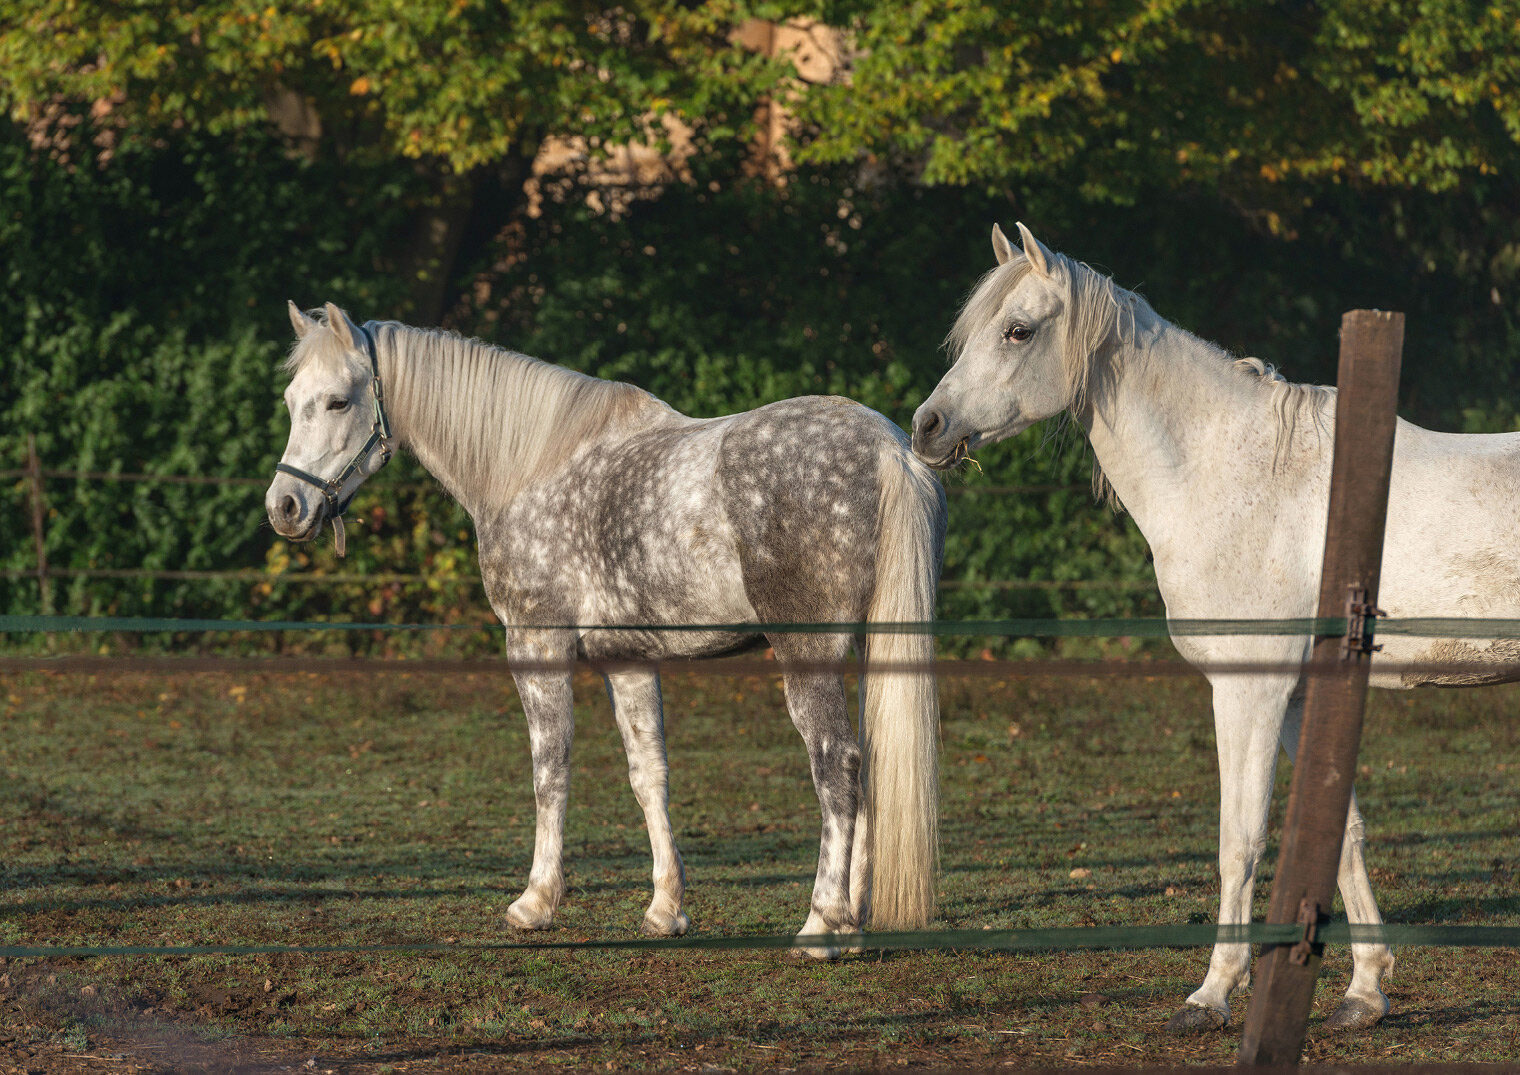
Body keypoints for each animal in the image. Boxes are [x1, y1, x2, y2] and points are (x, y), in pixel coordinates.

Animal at [267, 301, 942, 948]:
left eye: (338, 400)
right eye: (292, 401)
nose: (285, 507)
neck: (531, 466)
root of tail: (887, 448)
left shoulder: (535, 644)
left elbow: (550, 767)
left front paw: (535, 902)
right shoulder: (629, 660)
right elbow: (649, 774)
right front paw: (666, 909)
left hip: (808, 650)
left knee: (836, 764)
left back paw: (822, 924)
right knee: (867, 762)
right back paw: (854, 918)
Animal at [912, 225, 1520, 1033]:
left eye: (1017, 330)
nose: (927, 427)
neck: (1239, 471)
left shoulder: (1248, 690)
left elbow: (1241, 839)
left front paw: (1212, 994)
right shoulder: (1301, 694)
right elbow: (1342, 833)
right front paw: (1364, 992)